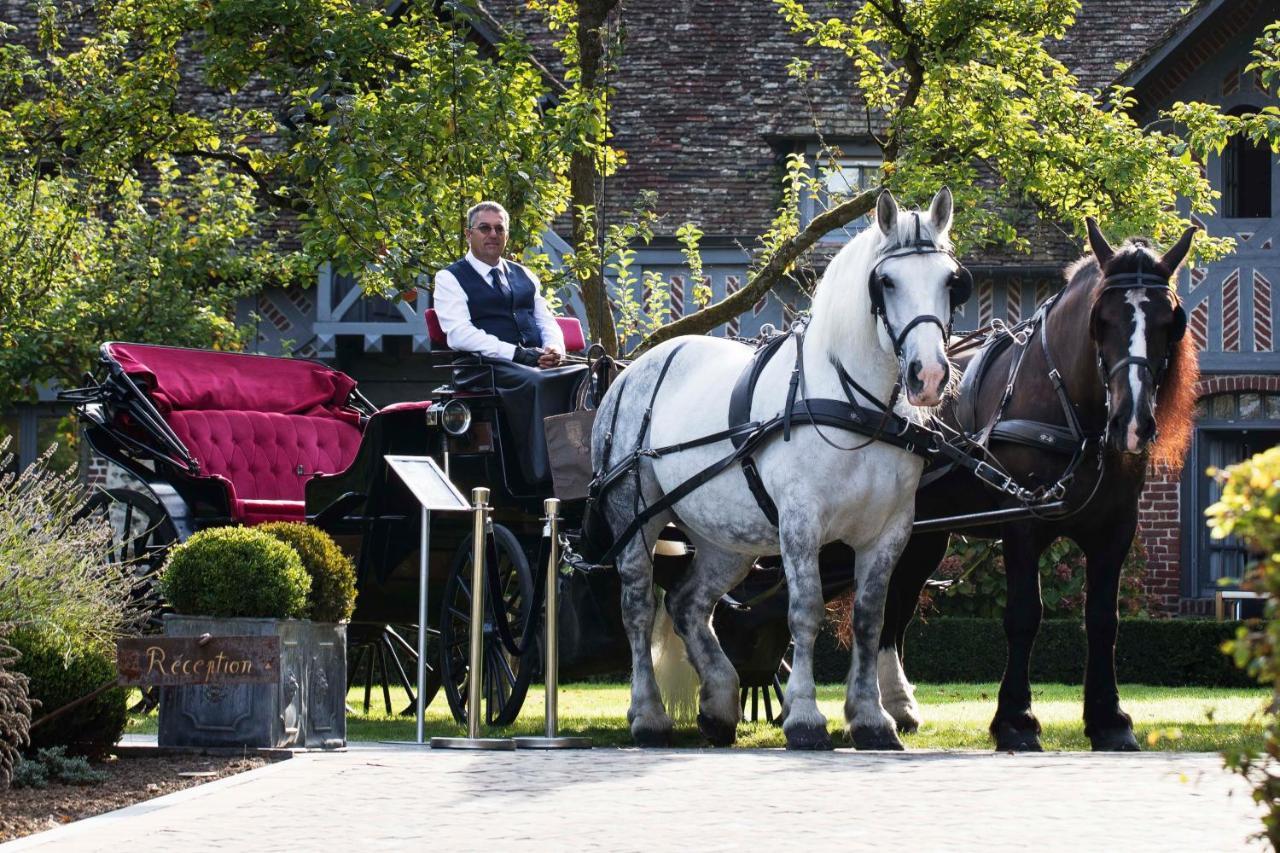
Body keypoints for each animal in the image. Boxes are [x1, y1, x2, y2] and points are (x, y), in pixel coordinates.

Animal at [588, 185, 962, 742]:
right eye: (887, 282)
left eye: (950, 281)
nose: (929, 375)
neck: (854, 406)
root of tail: (629, 371)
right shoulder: (801, 524)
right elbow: (805, 612)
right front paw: (805, 716)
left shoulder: (889, 531)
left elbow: (869, 621)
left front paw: (871, 718)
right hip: (633, 518)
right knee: (637, 609)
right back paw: (648, 714)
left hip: (725, 540)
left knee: (688, 603)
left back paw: (719, 702)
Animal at [880, 220, 1198, 753]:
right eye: (1101, 320)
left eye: (1169, 322)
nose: (1132, 423)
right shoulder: (1022, 524)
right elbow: (1024, 614)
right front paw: (1016, 719)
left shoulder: (1116, 530)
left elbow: (1104, 620)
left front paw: (1109, 719)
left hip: (924, 533)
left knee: (895, 599)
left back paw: (895, 706)